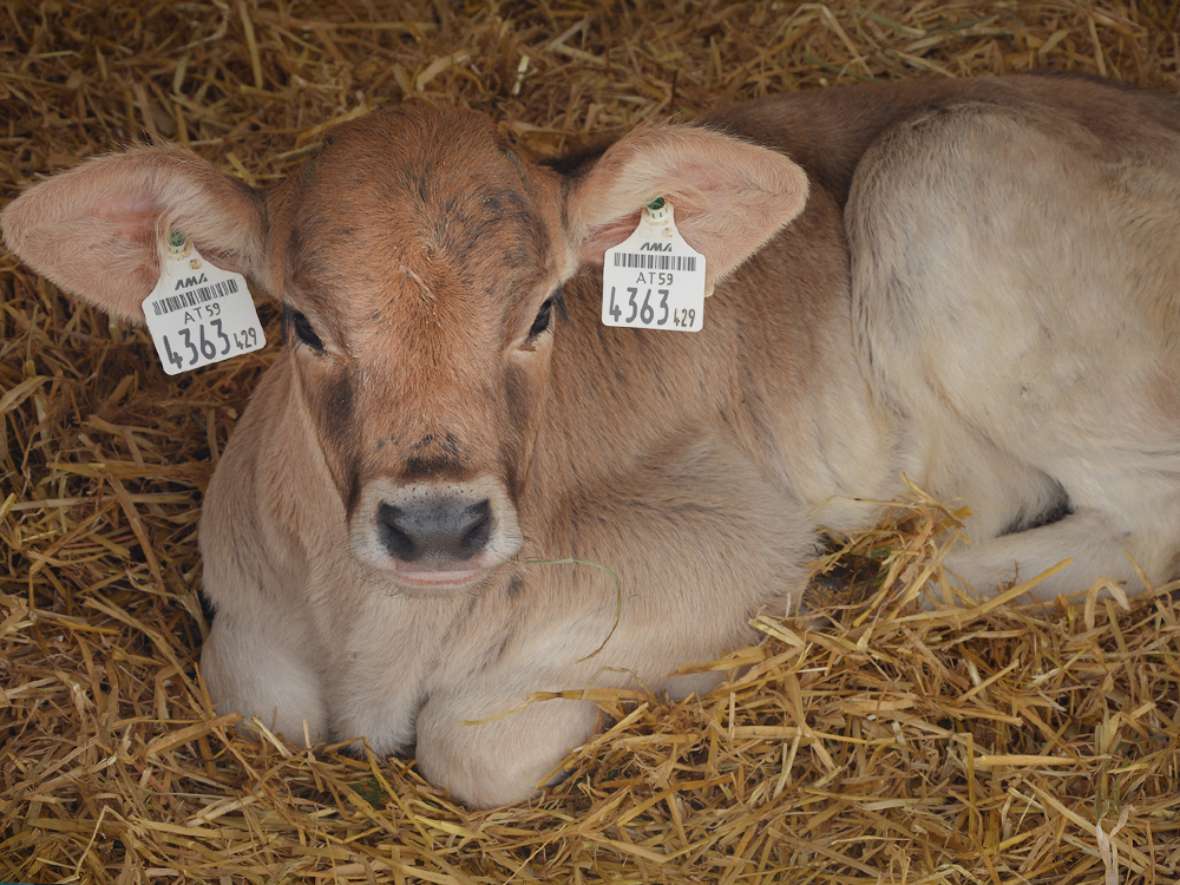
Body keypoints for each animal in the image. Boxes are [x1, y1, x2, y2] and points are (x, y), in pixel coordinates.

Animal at [2, 74, 1180, 811]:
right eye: (301, 322)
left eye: (541, 312)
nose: (438, 525)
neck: (375, 637)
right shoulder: (245, 612)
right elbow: (261, 705)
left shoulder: (728, 542)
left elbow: (471, 741)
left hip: (941, 172)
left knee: (1141, 523)